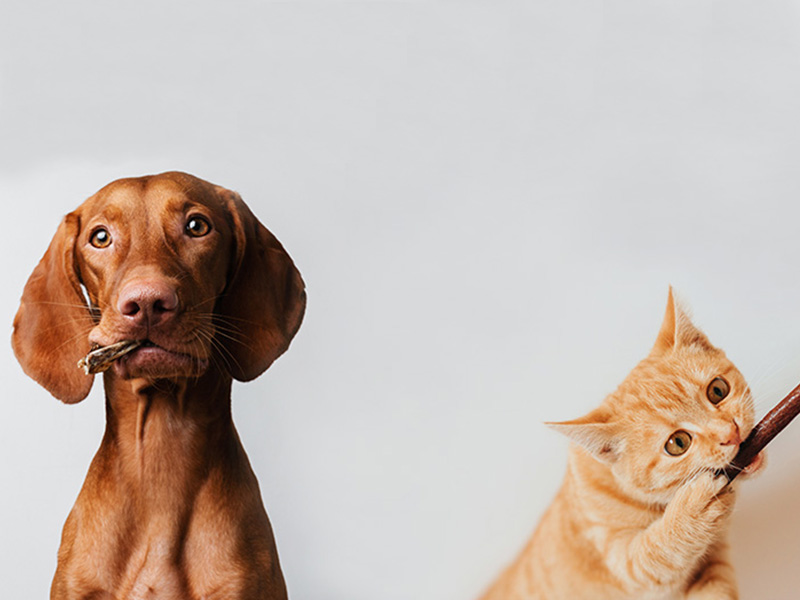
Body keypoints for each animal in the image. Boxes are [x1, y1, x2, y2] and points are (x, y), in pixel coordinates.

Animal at [482, 288, 764, 596]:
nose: (731, 433)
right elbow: (655, 552)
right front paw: (693, 509)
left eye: (718, 390)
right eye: (678, 443)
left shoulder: (713, 567)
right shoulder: (625, 566)